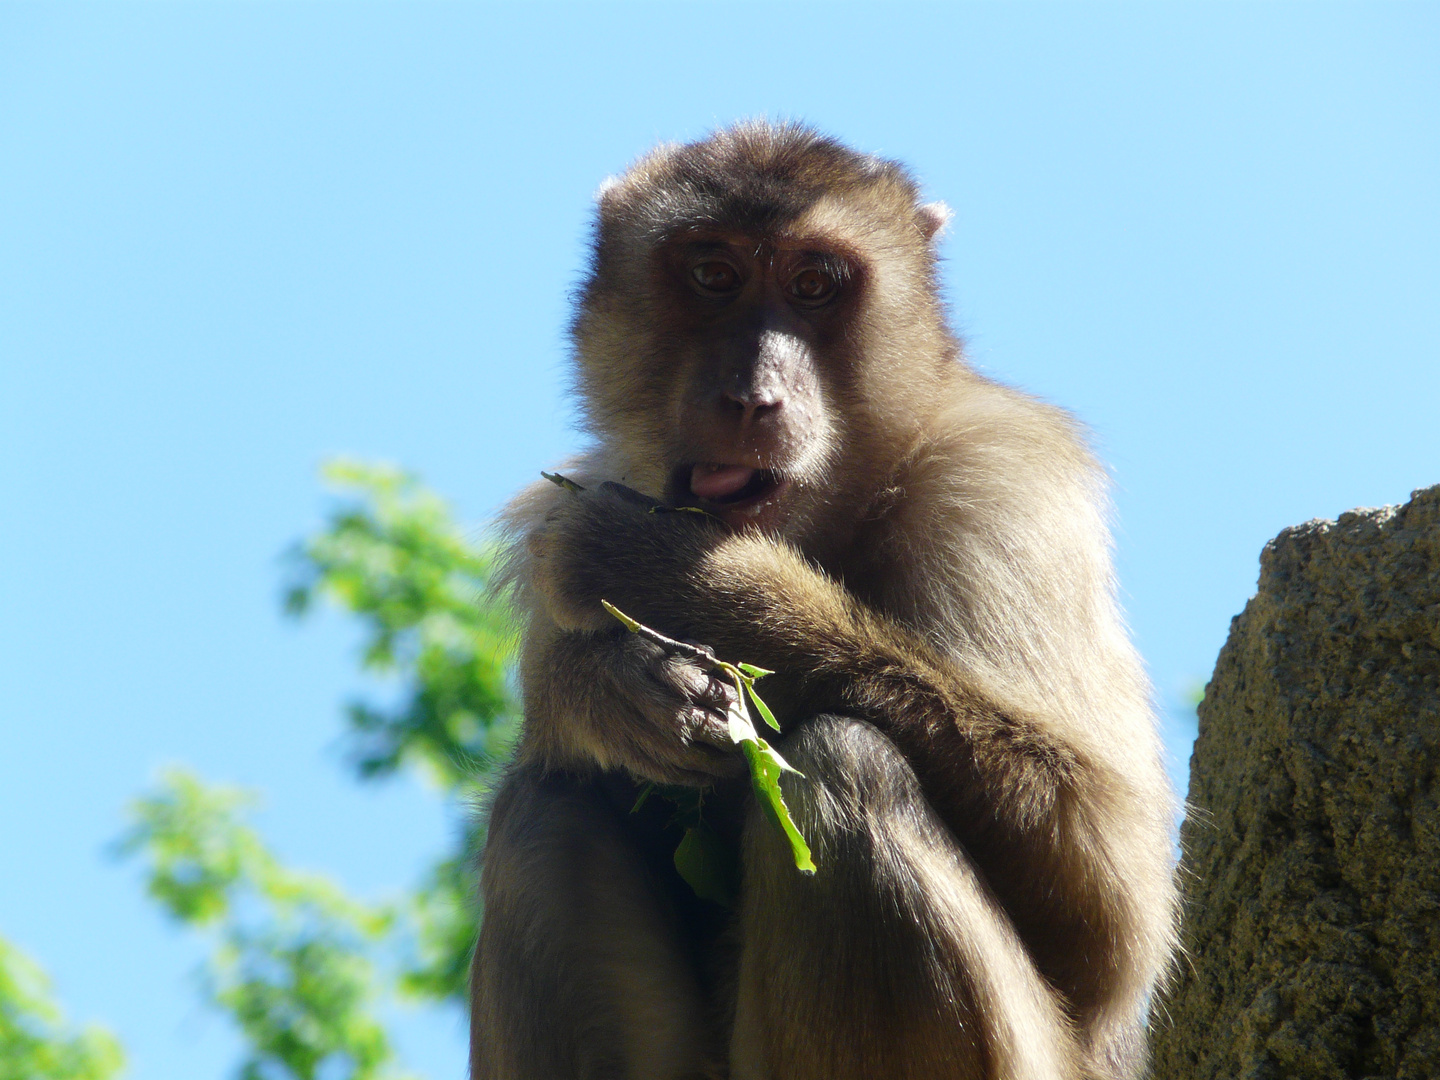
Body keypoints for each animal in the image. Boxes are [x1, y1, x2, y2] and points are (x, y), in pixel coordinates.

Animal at [475, 122, 1180, 1080]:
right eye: (713, 273)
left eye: (814, 286)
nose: (752, 397)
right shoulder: (564, 502)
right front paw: (610, 693)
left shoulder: (1001, 484)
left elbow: (1106, 898)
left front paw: (682, 578)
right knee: (546, 813)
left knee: (846, 766)